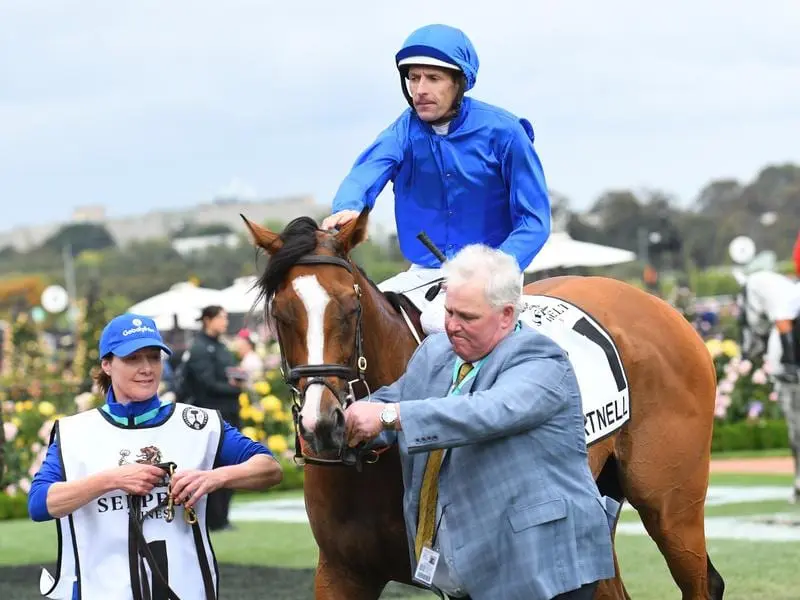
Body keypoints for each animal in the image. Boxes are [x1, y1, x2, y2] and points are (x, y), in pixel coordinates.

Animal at [244, 212, 724, 600]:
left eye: (349, 307)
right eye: (281, 313)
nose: (322, 422)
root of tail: (664, 308)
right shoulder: (342, 572)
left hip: (671, 506)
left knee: (701, 581)